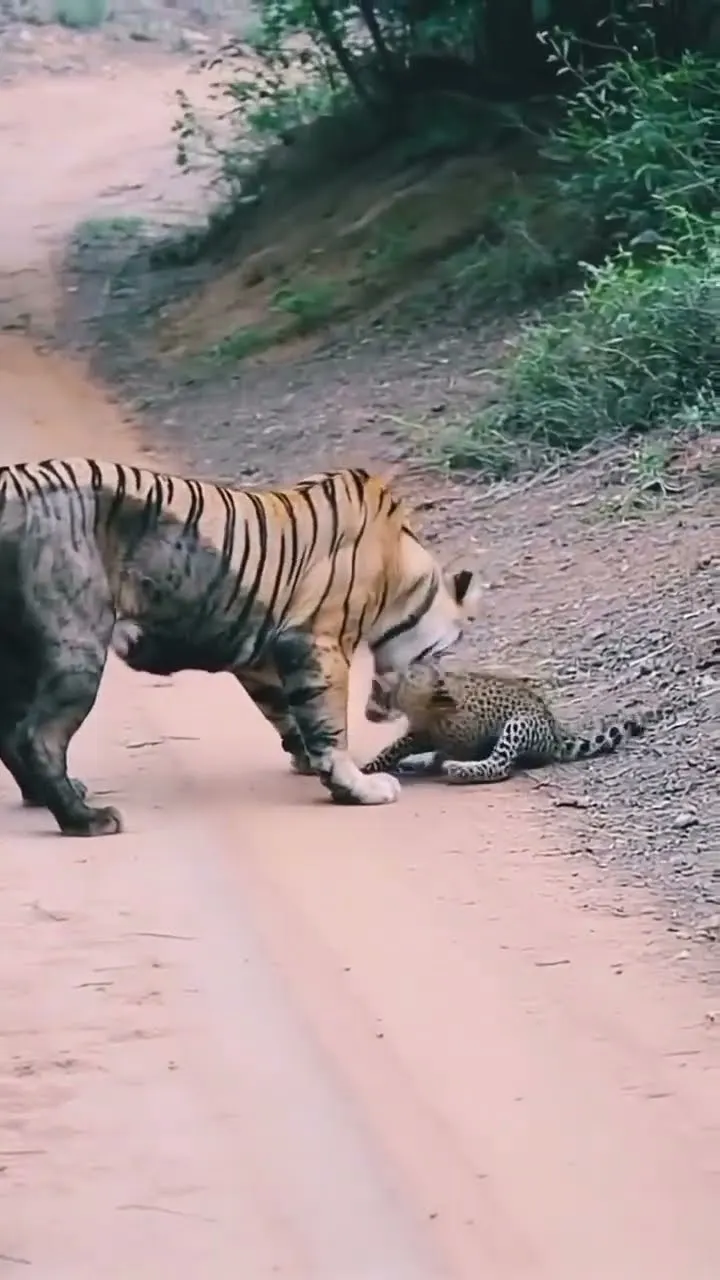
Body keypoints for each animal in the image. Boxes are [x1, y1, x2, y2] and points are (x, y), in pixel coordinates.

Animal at [0, 459, 481, 837]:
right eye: (440, 658)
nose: (444, 691)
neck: (403, 576)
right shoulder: (317, 640)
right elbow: (329, 723)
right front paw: (357, 786)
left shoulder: (263, 658)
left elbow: (287, 712)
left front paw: (309, 761)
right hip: (77, 647)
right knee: (37, 737)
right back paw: (86, 819)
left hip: (21, 658)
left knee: (11, 732)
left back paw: (50, 798)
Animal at [362, 659, 663, 785]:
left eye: (373, 692)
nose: (365, 712)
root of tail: (556, 732)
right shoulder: (427, 732)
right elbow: (401, 745)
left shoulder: (453, 730)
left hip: (519, 724)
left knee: (501, 765)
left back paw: (458, 769)